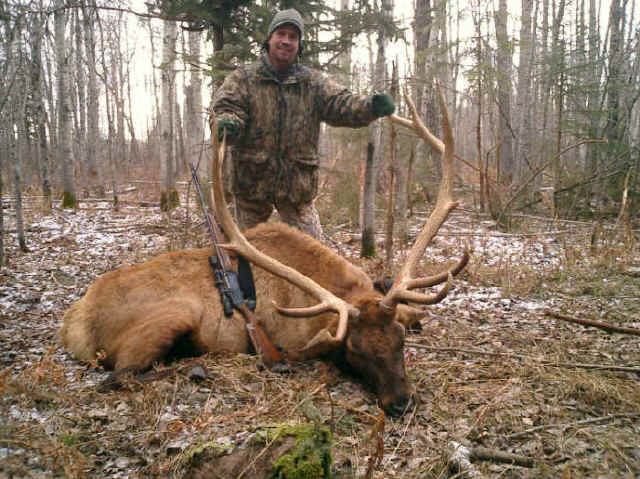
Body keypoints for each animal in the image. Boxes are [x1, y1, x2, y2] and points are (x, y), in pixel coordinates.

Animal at [59, 88, 468, 417]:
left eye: (399, 341)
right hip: (173, 316)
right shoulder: (293, 342)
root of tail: (75, 323)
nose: (401, 403)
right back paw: (195, 368)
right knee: (119, 375)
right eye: (356, 350)